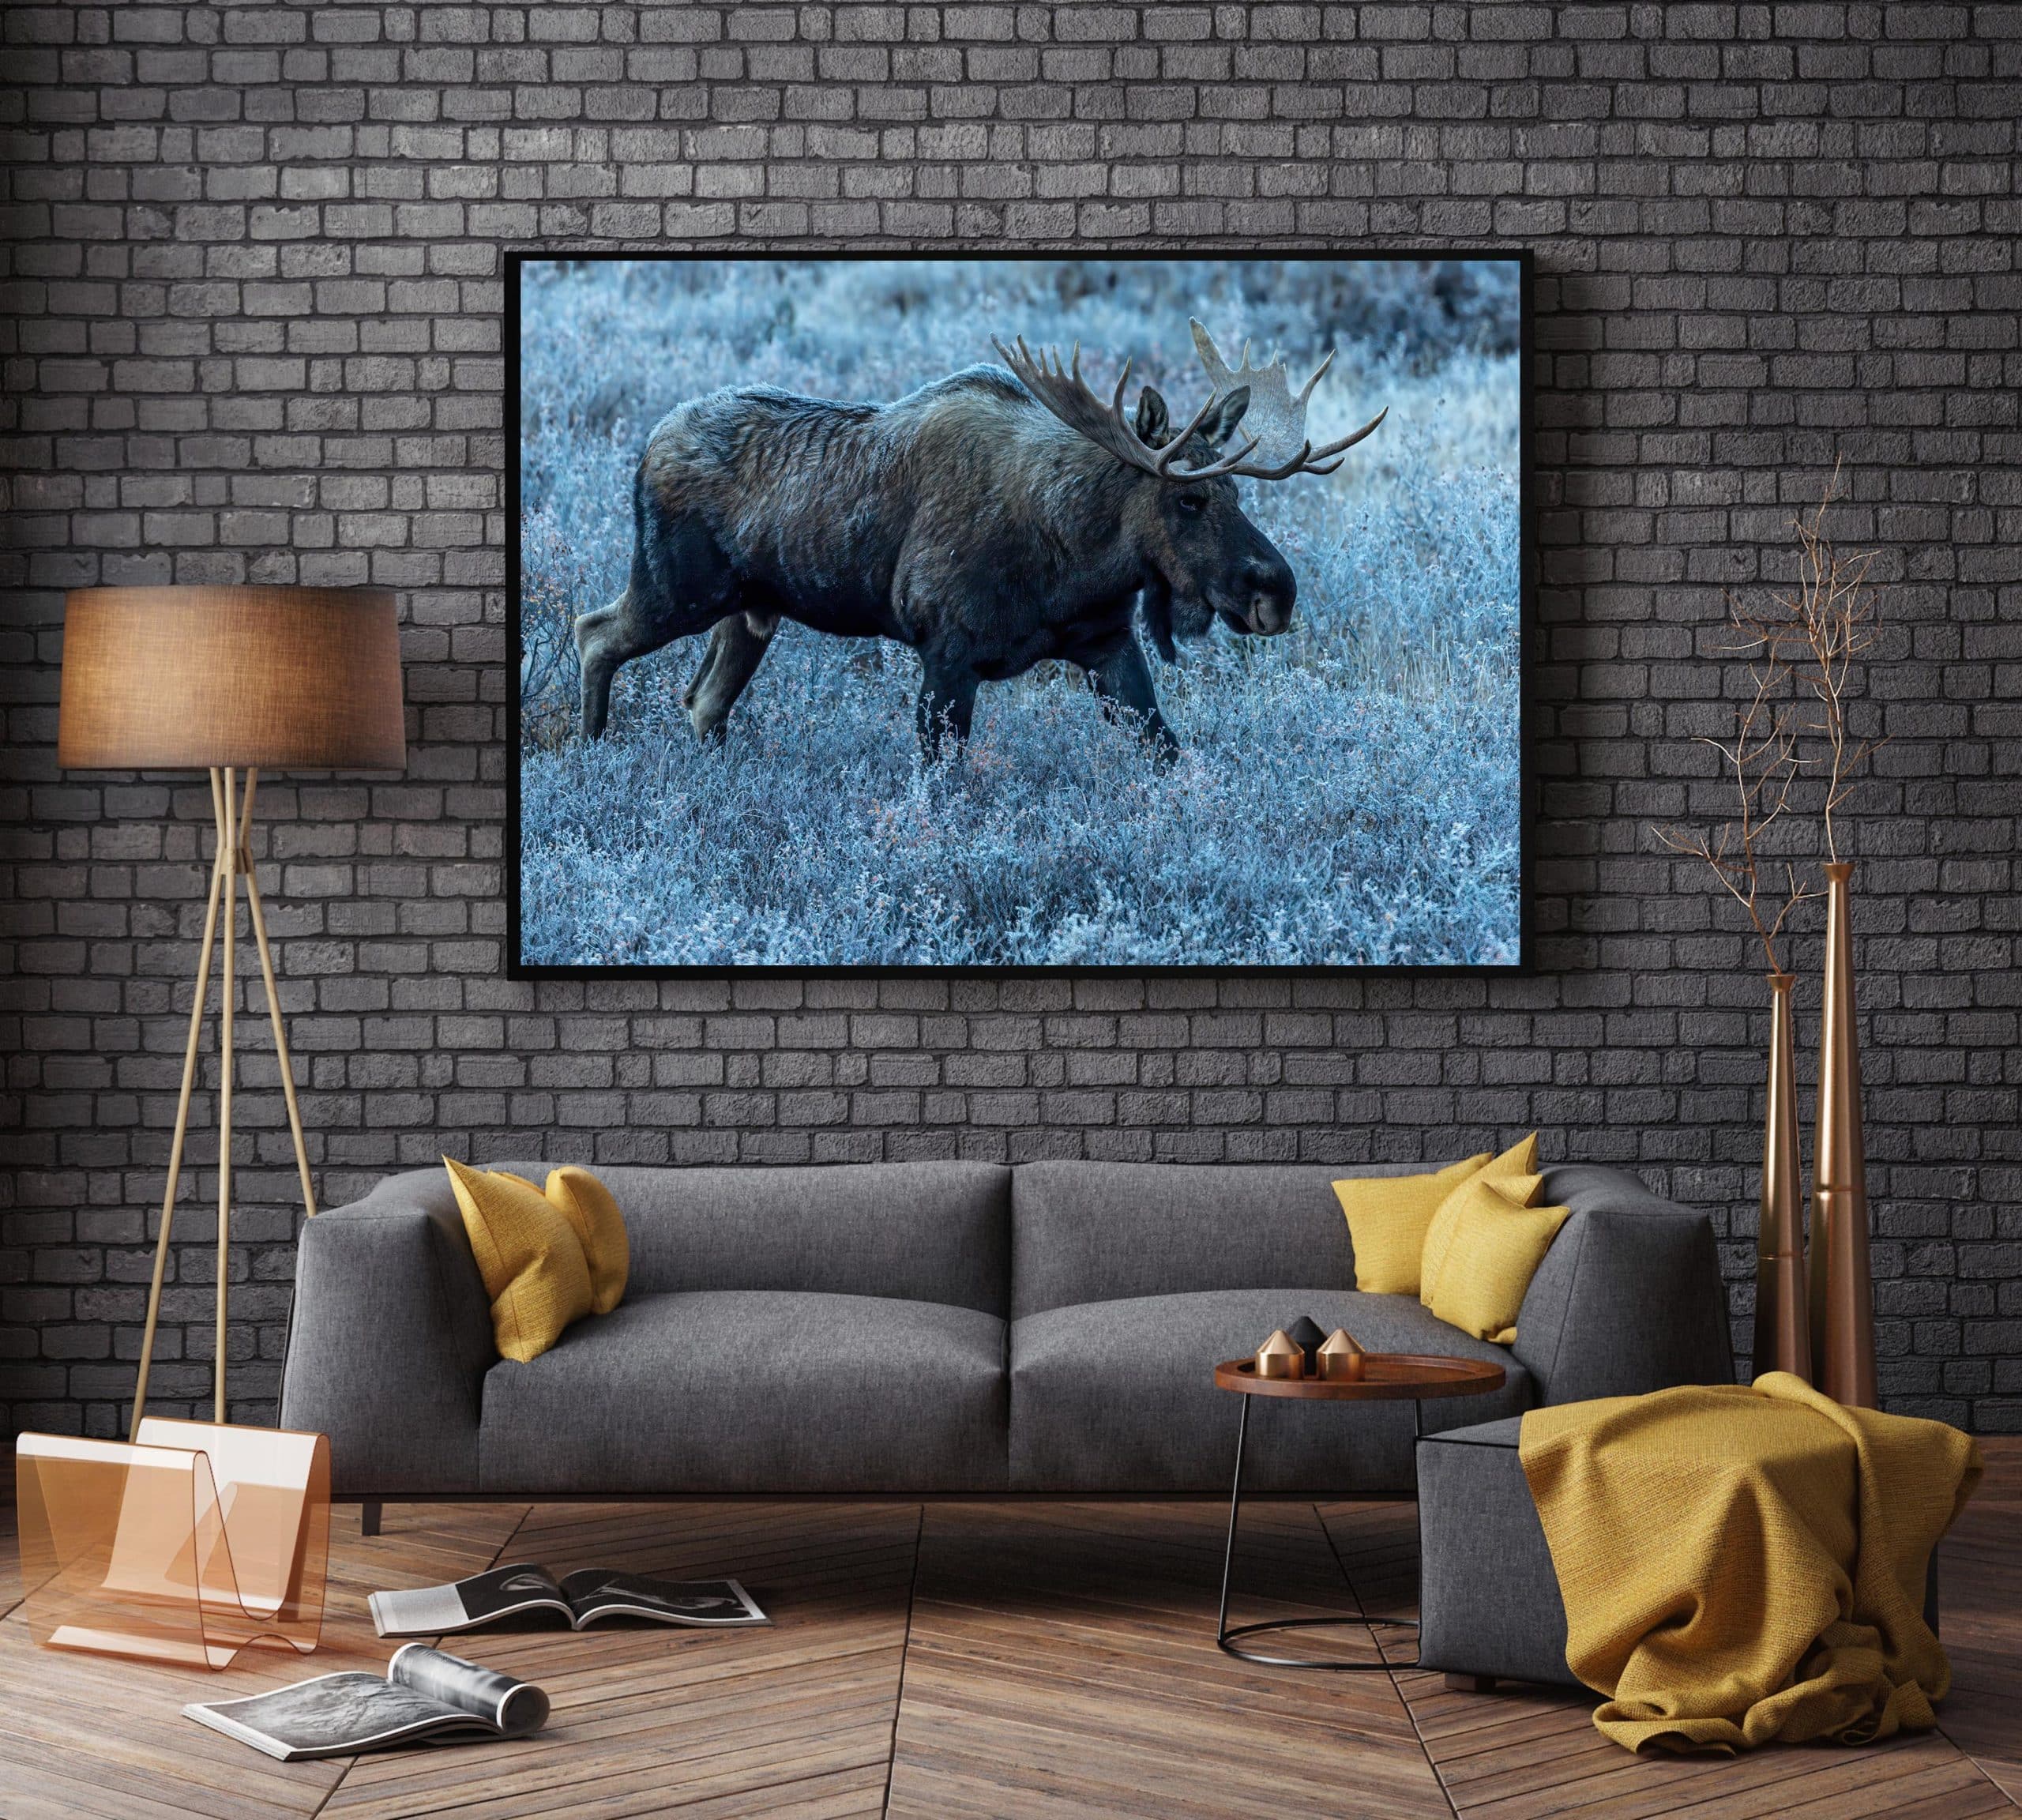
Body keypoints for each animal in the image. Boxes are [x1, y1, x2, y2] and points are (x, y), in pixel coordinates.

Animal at [573, 320, 1385, 764]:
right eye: (1189, 498)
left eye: (1239, 493)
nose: (1276, 592)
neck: (1080, 560)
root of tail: (647, 444)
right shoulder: (946, 652)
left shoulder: (1107, 645)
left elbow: (1167, 750)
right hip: (677, 588)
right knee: (593, 633)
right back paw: (593, 757)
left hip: (750, 613)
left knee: (701, 702)